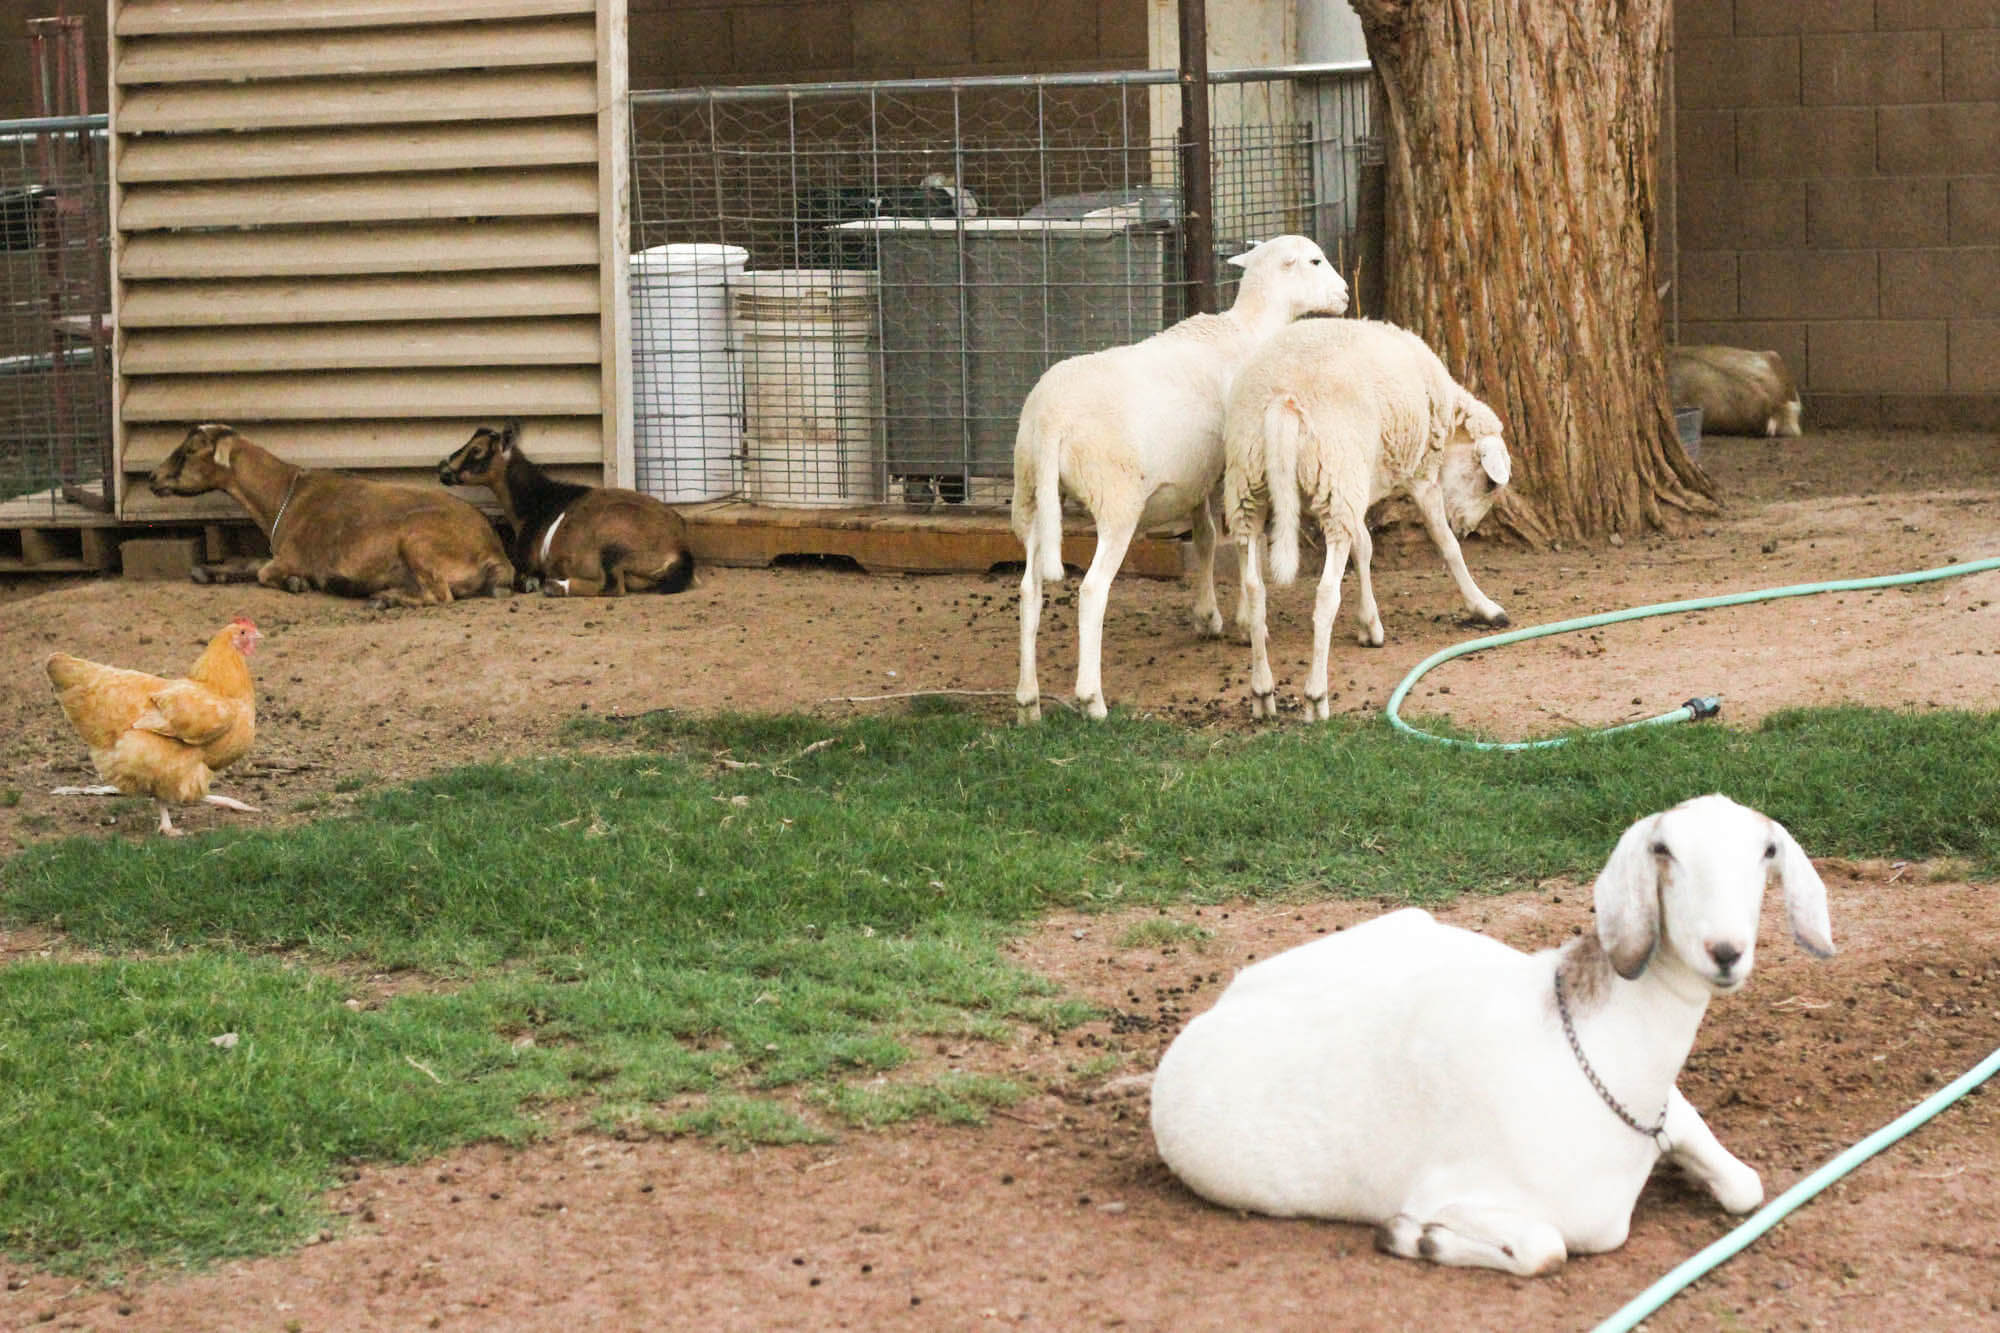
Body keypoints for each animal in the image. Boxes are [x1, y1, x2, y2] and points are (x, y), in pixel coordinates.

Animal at [148, 422, 516, 604]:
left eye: (190, 450)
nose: (152, 477)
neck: (286, 495)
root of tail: (495, 552)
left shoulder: (290, 556)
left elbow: (263, 572)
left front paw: (297, 583)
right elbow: (249, 564)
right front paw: (208, 572)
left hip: (418, 543)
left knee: (441, 595)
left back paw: (383, 597)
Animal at [438, 420, 696, 596]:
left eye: (477, 450)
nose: (443, 469)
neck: (537, 503)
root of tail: (679, 548)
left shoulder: (527, 561)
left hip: (611, 543)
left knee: (611, 585)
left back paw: (555, 586)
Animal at [1008, 233, 1352, 720]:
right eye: (1315, 261)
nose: (1344, 294)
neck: (1249, 330)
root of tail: (1051, 417)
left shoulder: (1196, 475)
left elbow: (1206, 537)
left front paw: (1207, 616)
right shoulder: (1234, 465)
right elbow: (1243, 541)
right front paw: (1245, 619)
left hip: (1031, 496)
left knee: (1029, 592)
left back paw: (1028, 701)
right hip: (1115, 499)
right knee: (1092, 591)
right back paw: (1092, 700)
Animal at [1152, 792, 1832, 1272]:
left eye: (1767, 852)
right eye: (1664, 850)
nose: (1726, 952)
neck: (1599, 1054)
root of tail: (1223, 1001)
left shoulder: (1678, 1114)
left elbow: (1746, 1187)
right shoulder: (1455, 1192)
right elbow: (1545, 1249)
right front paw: (1416, 1239)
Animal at [1216, 316, 1512, 716]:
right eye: (1489, 484)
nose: (1467, 528)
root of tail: (1283, 398)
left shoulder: (1353, 490)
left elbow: (1365, 548)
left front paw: (1369, 624)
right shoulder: (1417, 475)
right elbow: (1446, 546)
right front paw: (1485, 607)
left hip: (1252, 485)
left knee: (1253, 586)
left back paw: (1262, 690)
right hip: (1332, 470)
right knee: (1326, 594)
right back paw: (1316, 697)